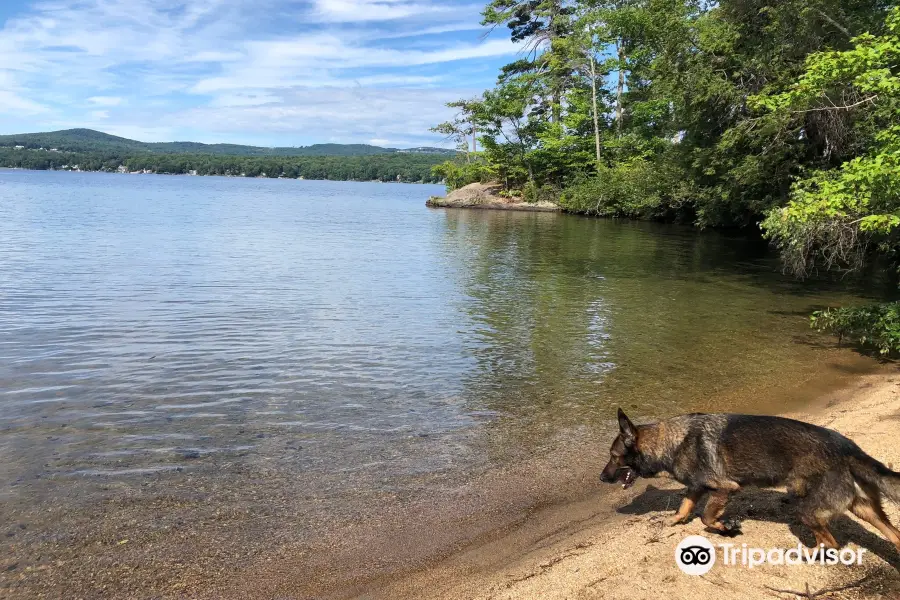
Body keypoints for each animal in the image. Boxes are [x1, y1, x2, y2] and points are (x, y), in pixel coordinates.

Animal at [600, 408, 900, 552]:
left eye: (613, 457)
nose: (601, 477)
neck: (672, 442)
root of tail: (846, 448)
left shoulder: (724, 488)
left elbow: (706, 518)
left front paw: (726, 527)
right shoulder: (696, 488)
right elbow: (684, 508)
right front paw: (671, 521)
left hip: (807, 510)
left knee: (831, 543)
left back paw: (807, 554)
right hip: (863, 509)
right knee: (893, 535)